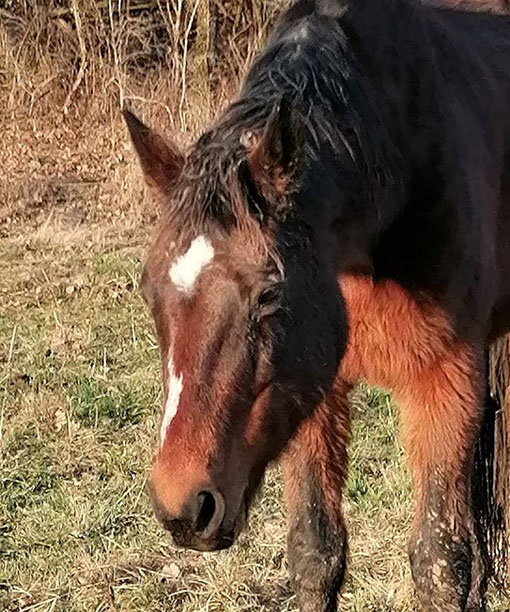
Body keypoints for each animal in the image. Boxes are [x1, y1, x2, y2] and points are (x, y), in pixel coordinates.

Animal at [122, 0, 510, 608]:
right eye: (148, 289)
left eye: (269, 293)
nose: (183, 507)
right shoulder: (309, 390)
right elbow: (315, 553)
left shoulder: (443, 383)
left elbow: (440, 561)